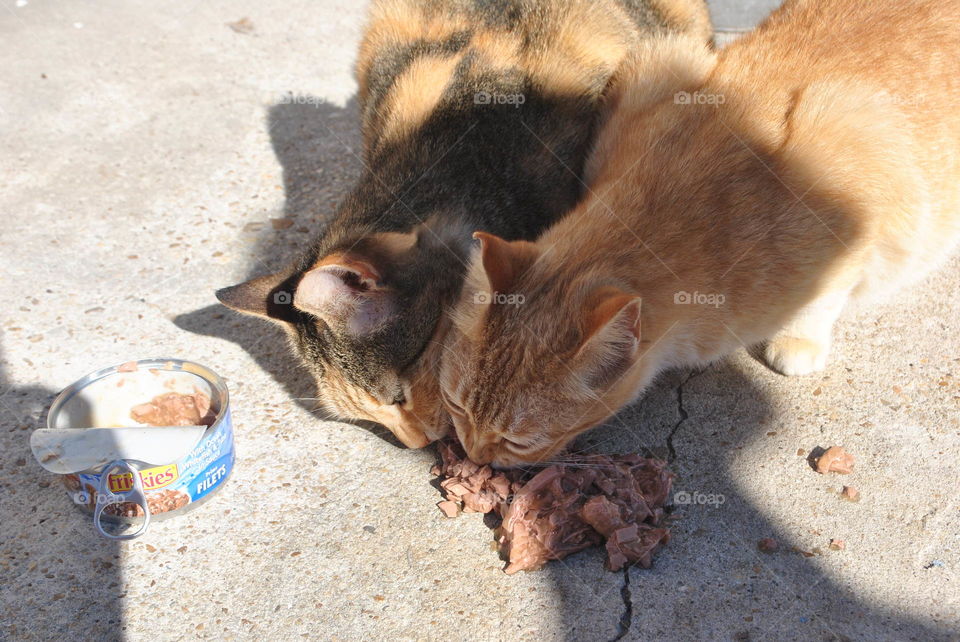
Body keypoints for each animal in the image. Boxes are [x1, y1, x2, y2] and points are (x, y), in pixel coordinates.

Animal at [442, 0, 960, 464]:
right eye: (455, 406)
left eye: (517, 442)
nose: (474, 456)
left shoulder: (860, 178)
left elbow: (827, 292)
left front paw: (799, 338)